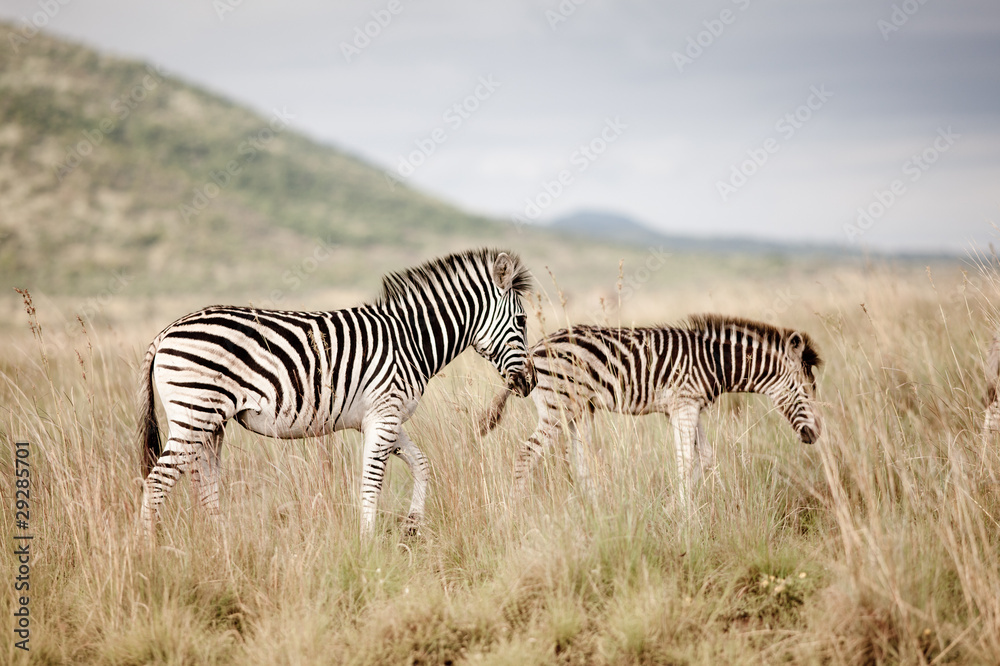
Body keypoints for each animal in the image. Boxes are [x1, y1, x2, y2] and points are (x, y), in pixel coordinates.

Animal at [138, 248, 536, 538]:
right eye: (522, 321)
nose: (529, 383)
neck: (411, 339)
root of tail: (166, 331)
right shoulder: (384, 415)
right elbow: (372, 482)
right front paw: (368, 545)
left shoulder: (383, 418)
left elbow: (421, 463)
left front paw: (411, 526)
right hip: (195, 414)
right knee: (157, 482)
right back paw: (148, 553)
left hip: (211, 423)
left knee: (205, 485)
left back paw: (222, 546)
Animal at [480, 314, 822, 503]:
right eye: (807, 390)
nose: (816, 435)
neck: (715, 362)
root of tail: (533, 350)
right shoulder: (684, 405)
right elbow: (685, 462)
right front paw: (686, 516)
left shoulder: (688, 406)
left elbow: (705, 457)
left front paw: (677, 507)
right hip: (556, 409)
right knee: (526, 454)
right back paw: (516, 513)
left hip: (578, 410)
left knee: (581, 463)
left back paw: (595, 512)